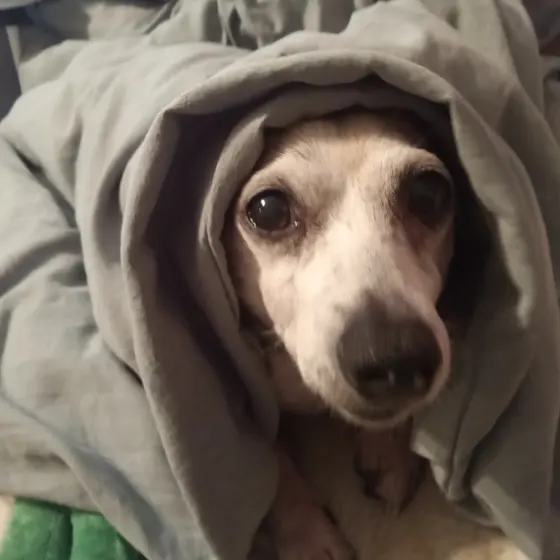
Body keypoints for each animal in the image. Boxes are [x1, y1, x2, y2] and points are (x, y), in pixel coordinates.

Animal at [224, 109, 490, 560]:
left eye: (429, 194)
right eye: (268, 209)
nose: (396, 357)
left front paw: (389, 452)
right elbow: (272, 469)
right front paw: (309, 536)